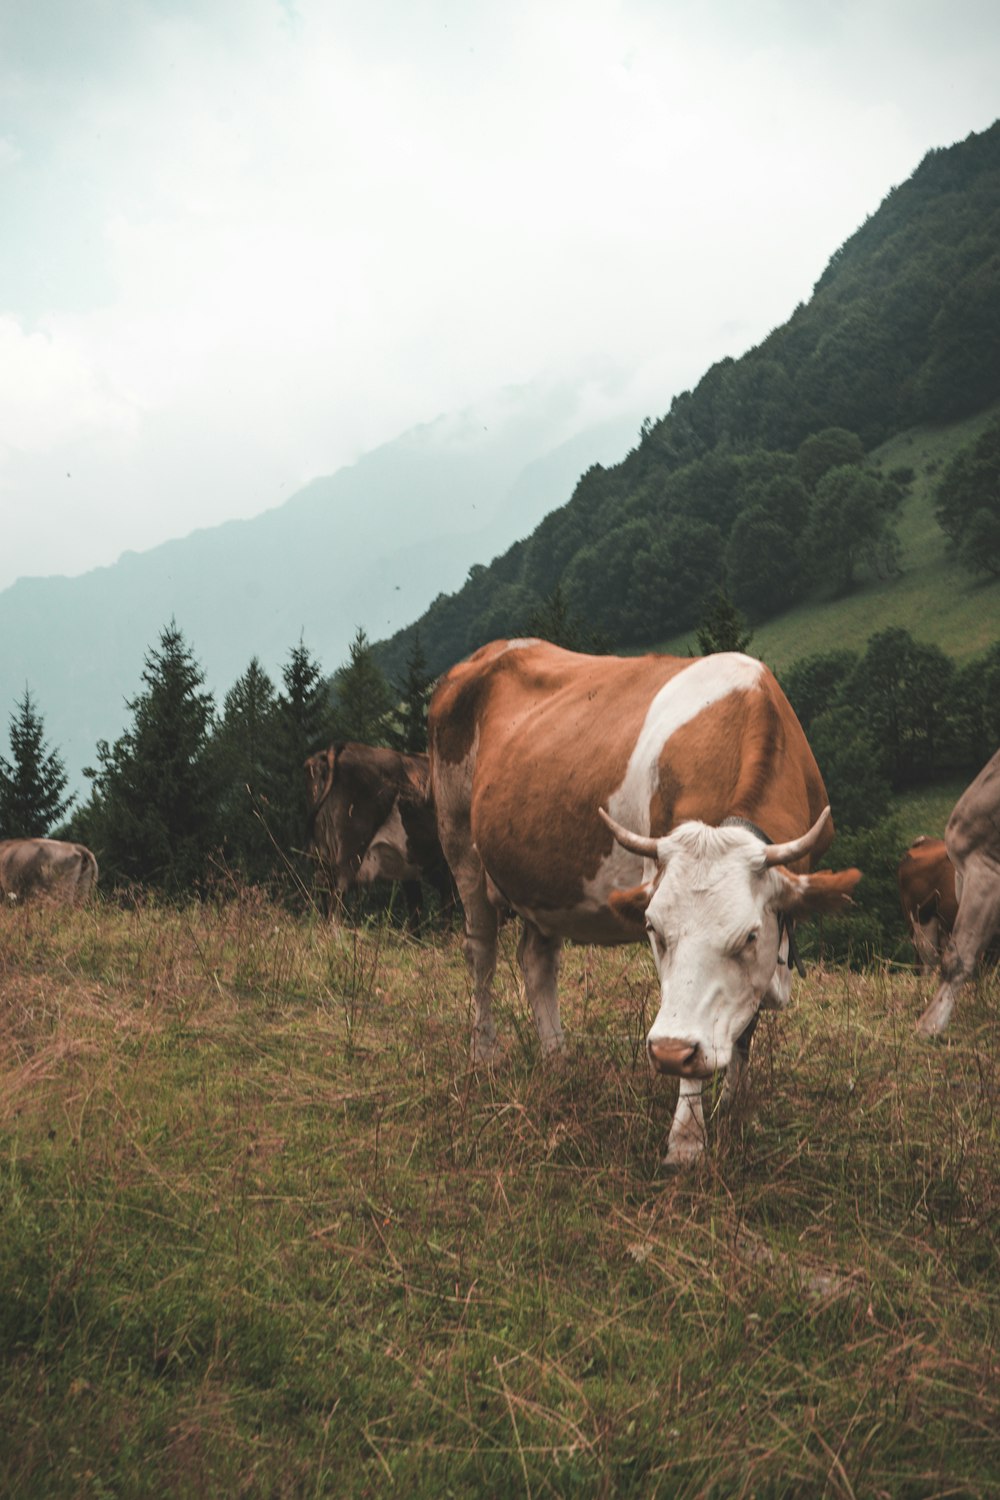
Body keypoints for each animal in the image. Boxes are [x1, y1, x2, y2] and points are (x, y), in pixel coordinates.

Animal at [431, 639, 863, 1164]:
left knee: (536, 962)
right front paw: (687, 1141)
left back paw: (558, 1061)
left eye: (748, 935)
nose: (668, 1052)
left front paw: (734, 1107)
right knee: (481, 952)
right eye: (654, 931)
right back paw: (485, 1055)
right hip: (460, 842)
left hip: (543, 880)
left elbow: (745, 1021)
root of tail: (489, 652)